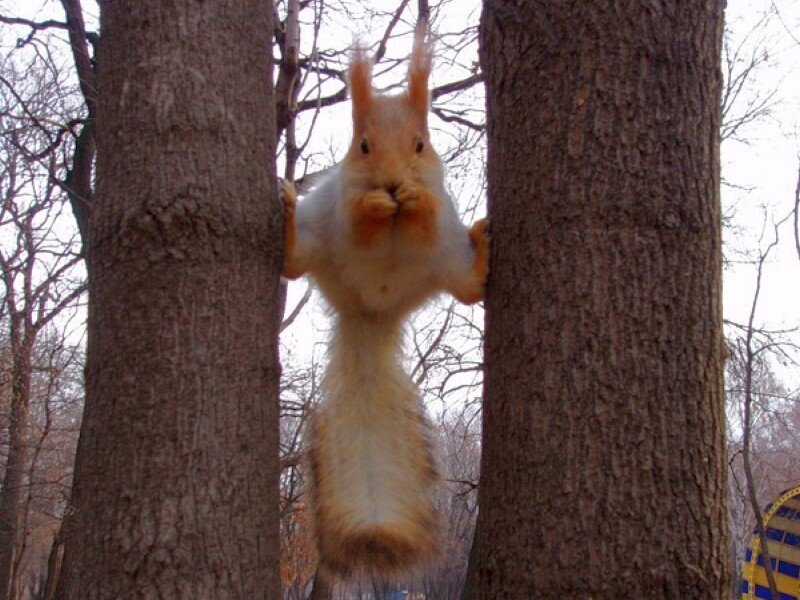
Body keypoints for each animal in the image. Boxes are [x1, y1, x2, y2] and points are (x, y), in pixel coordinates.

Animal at [281, 33, 489, 578]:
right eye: (362, 146)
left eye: (421, 144)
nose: (393, 183)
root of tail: (371, 312)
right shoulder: (342, 202)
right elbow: (360, 224)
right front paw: (376, 206)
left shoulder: (437, 218)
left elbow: (426, 217)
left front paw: (414, 200)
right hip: (319, 236)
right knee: (293, 264)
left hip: (446, 255)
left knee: (468, 289)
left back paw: (481, 244)